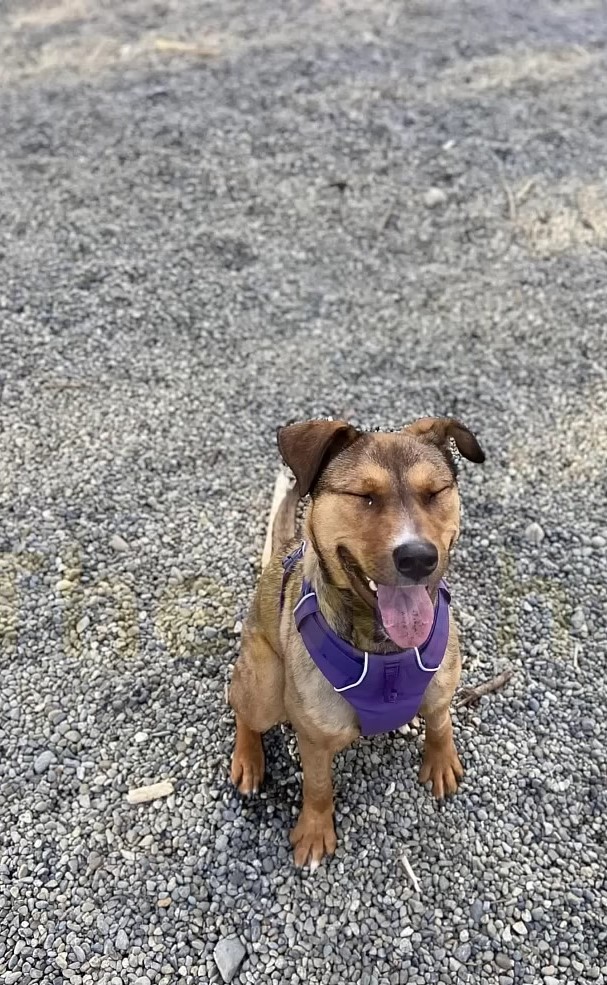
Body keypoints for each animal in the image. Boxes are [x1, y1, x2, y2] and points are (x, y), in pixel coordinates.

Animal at [230, 418, 486, 864]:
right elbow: (317, 786)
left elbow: (440, 722)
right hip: (265, 685)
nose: (418, 558)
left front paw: (441, 760)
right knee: (242, 708)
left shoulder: (441, 687)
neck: (387, 652)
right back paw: (248, 759)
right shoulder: (314, 738)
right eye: (364, 496)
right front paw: (315, 831)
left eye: (434, 493)